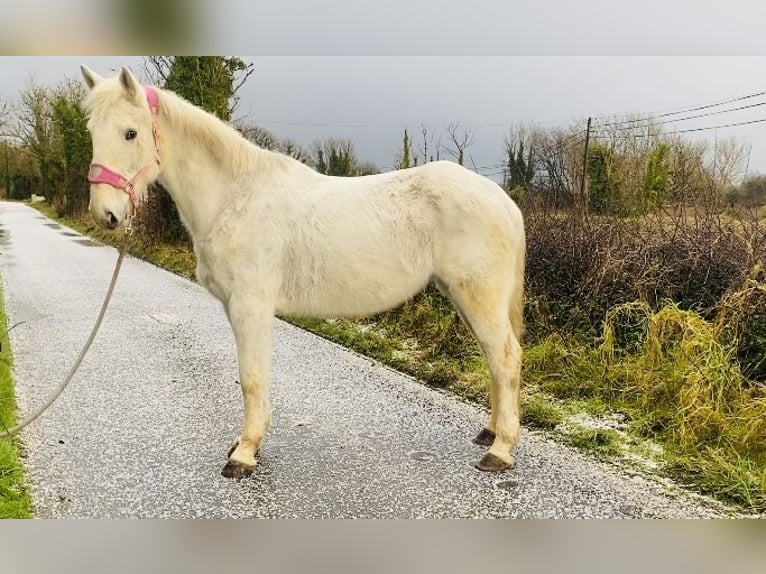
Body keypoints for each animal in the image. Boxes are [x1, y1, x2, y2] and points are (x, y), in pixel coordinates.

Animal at [82, 66, 528, 482]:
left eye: (130, 133)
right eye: (91, 131)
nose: (105, 214)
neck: (235, 198)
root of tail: (503, 200)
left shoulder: (250, 306)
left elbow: (251, 377)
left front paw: (244, 454)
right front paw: (246, 443)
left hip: (478, 297)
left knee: (506, 356)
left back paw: (500, 450)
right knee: (494, 358)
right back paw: (490, 433)